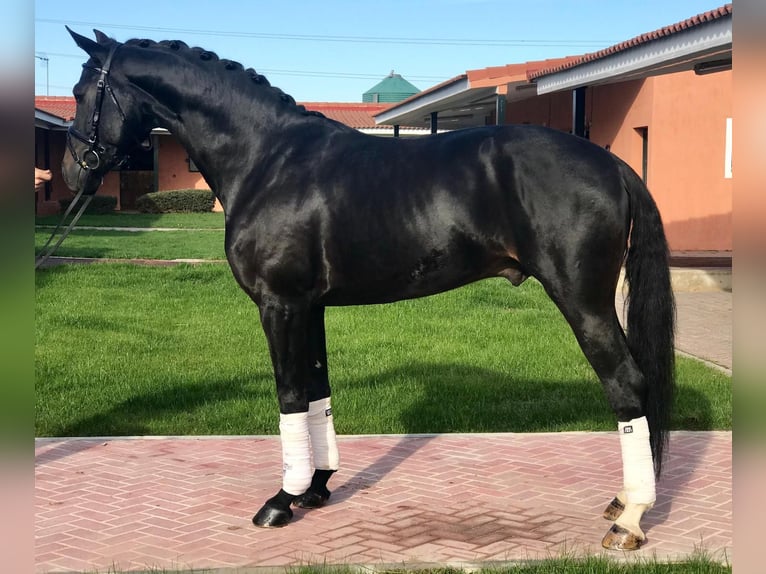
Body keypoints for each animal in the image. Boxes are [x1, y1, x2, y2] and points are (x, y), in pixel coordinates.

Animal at [62, 28, 675, 551]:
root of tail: (612, 163)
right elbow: (317, 392)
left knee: (625, 383)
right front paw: (316, 487)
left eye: (82, 91)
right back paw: (621, 501)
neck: (267, 159)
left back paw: (629, 520)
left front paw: (281, 501)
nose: (72, 173)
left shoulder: (279, 306)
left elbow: (288, 395)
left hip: (583, 300)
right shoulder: (309, 308)